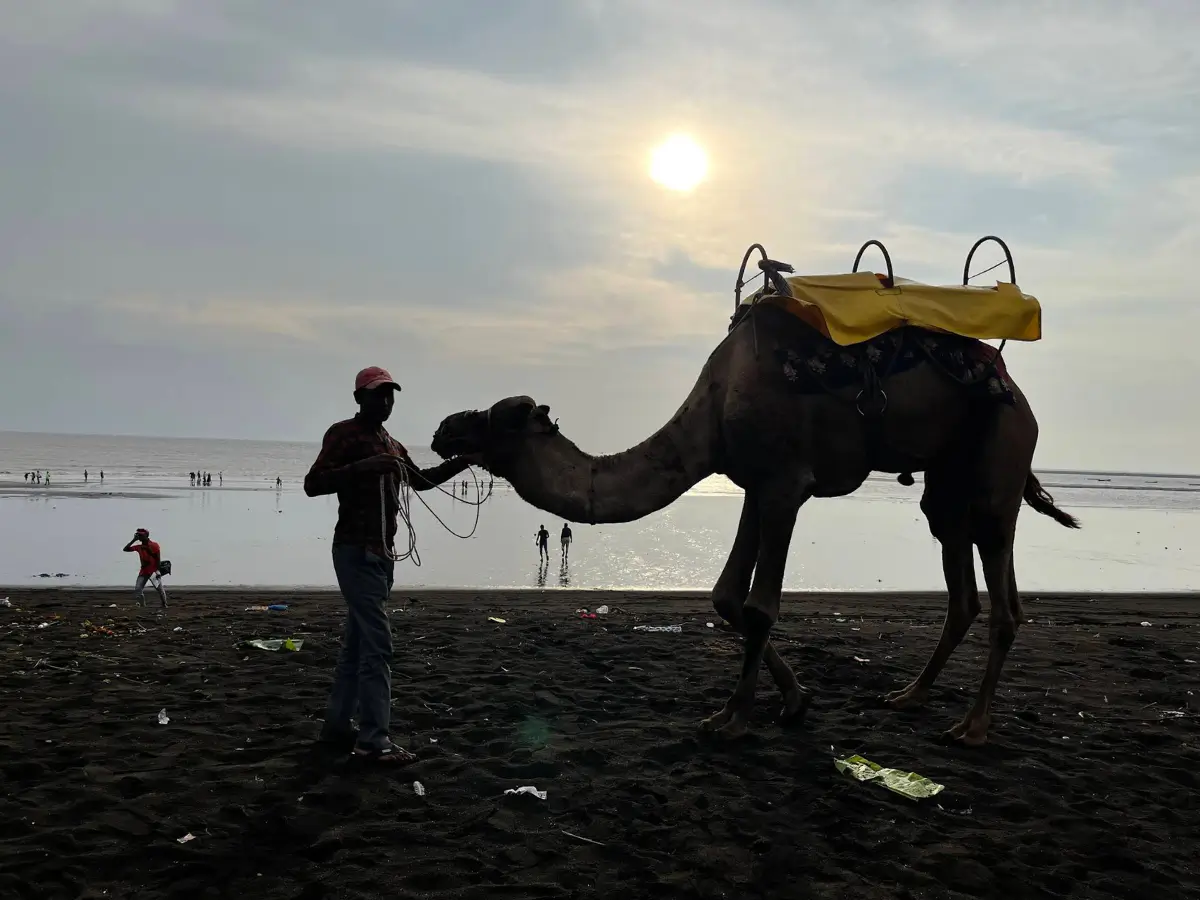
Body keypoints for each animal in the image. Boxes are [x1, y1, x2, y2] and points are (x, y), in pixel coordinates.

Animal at [430, 299, 1080, 746]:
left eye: (500, 418)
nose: (442, 429)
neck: (713, 408)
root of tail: (1014, 389)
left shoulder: (786, 485)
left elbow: (761, 605)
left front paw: (736, 719)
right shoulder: (751, 482)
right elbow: (725, 597)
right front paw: (793, 701)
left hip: (1000, 455)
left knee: (1003, 591)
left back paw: (973, 727)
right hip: (947, 479)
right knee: (958, 575)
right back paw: (908, 697)